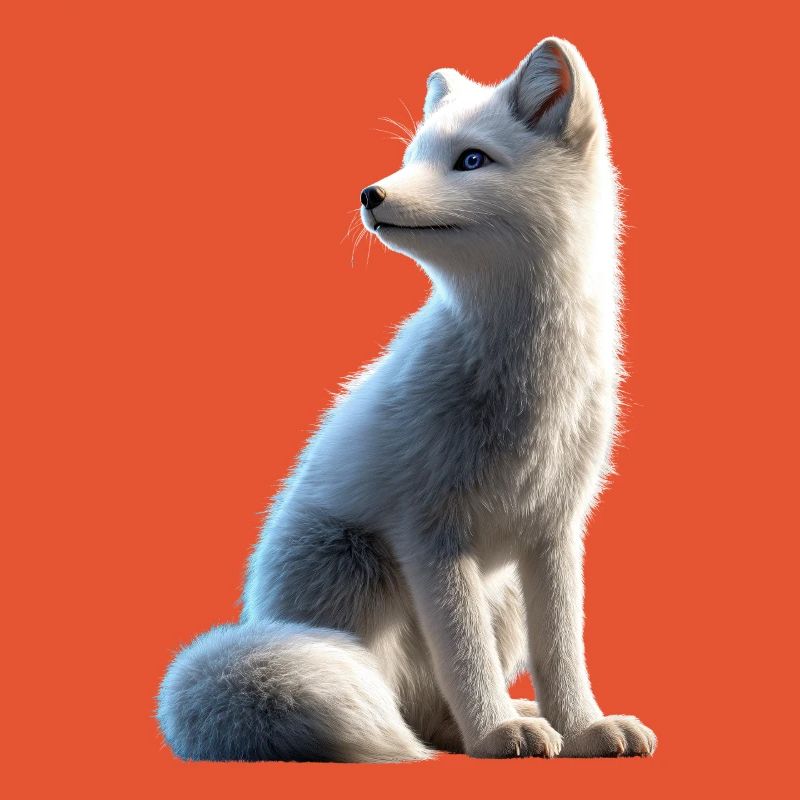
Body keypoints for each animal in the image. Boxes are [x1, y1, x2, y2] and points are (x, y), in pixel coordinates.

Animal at [157, 36, 657, 762]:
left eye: (471, 159)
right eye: (413, 156)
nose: (370, 192)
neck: (526, 379)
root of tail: (256, 617)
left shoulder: (555, 530)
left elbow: (564, 651)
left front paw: (586, 727)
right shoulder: (430, 531)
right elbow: (466, 657)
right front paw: (496, 733)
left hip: (501, 594)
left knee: (432, 707)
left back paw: (515, 720)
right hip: (358, 571)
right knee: (404, 702)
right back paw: (479, 729)